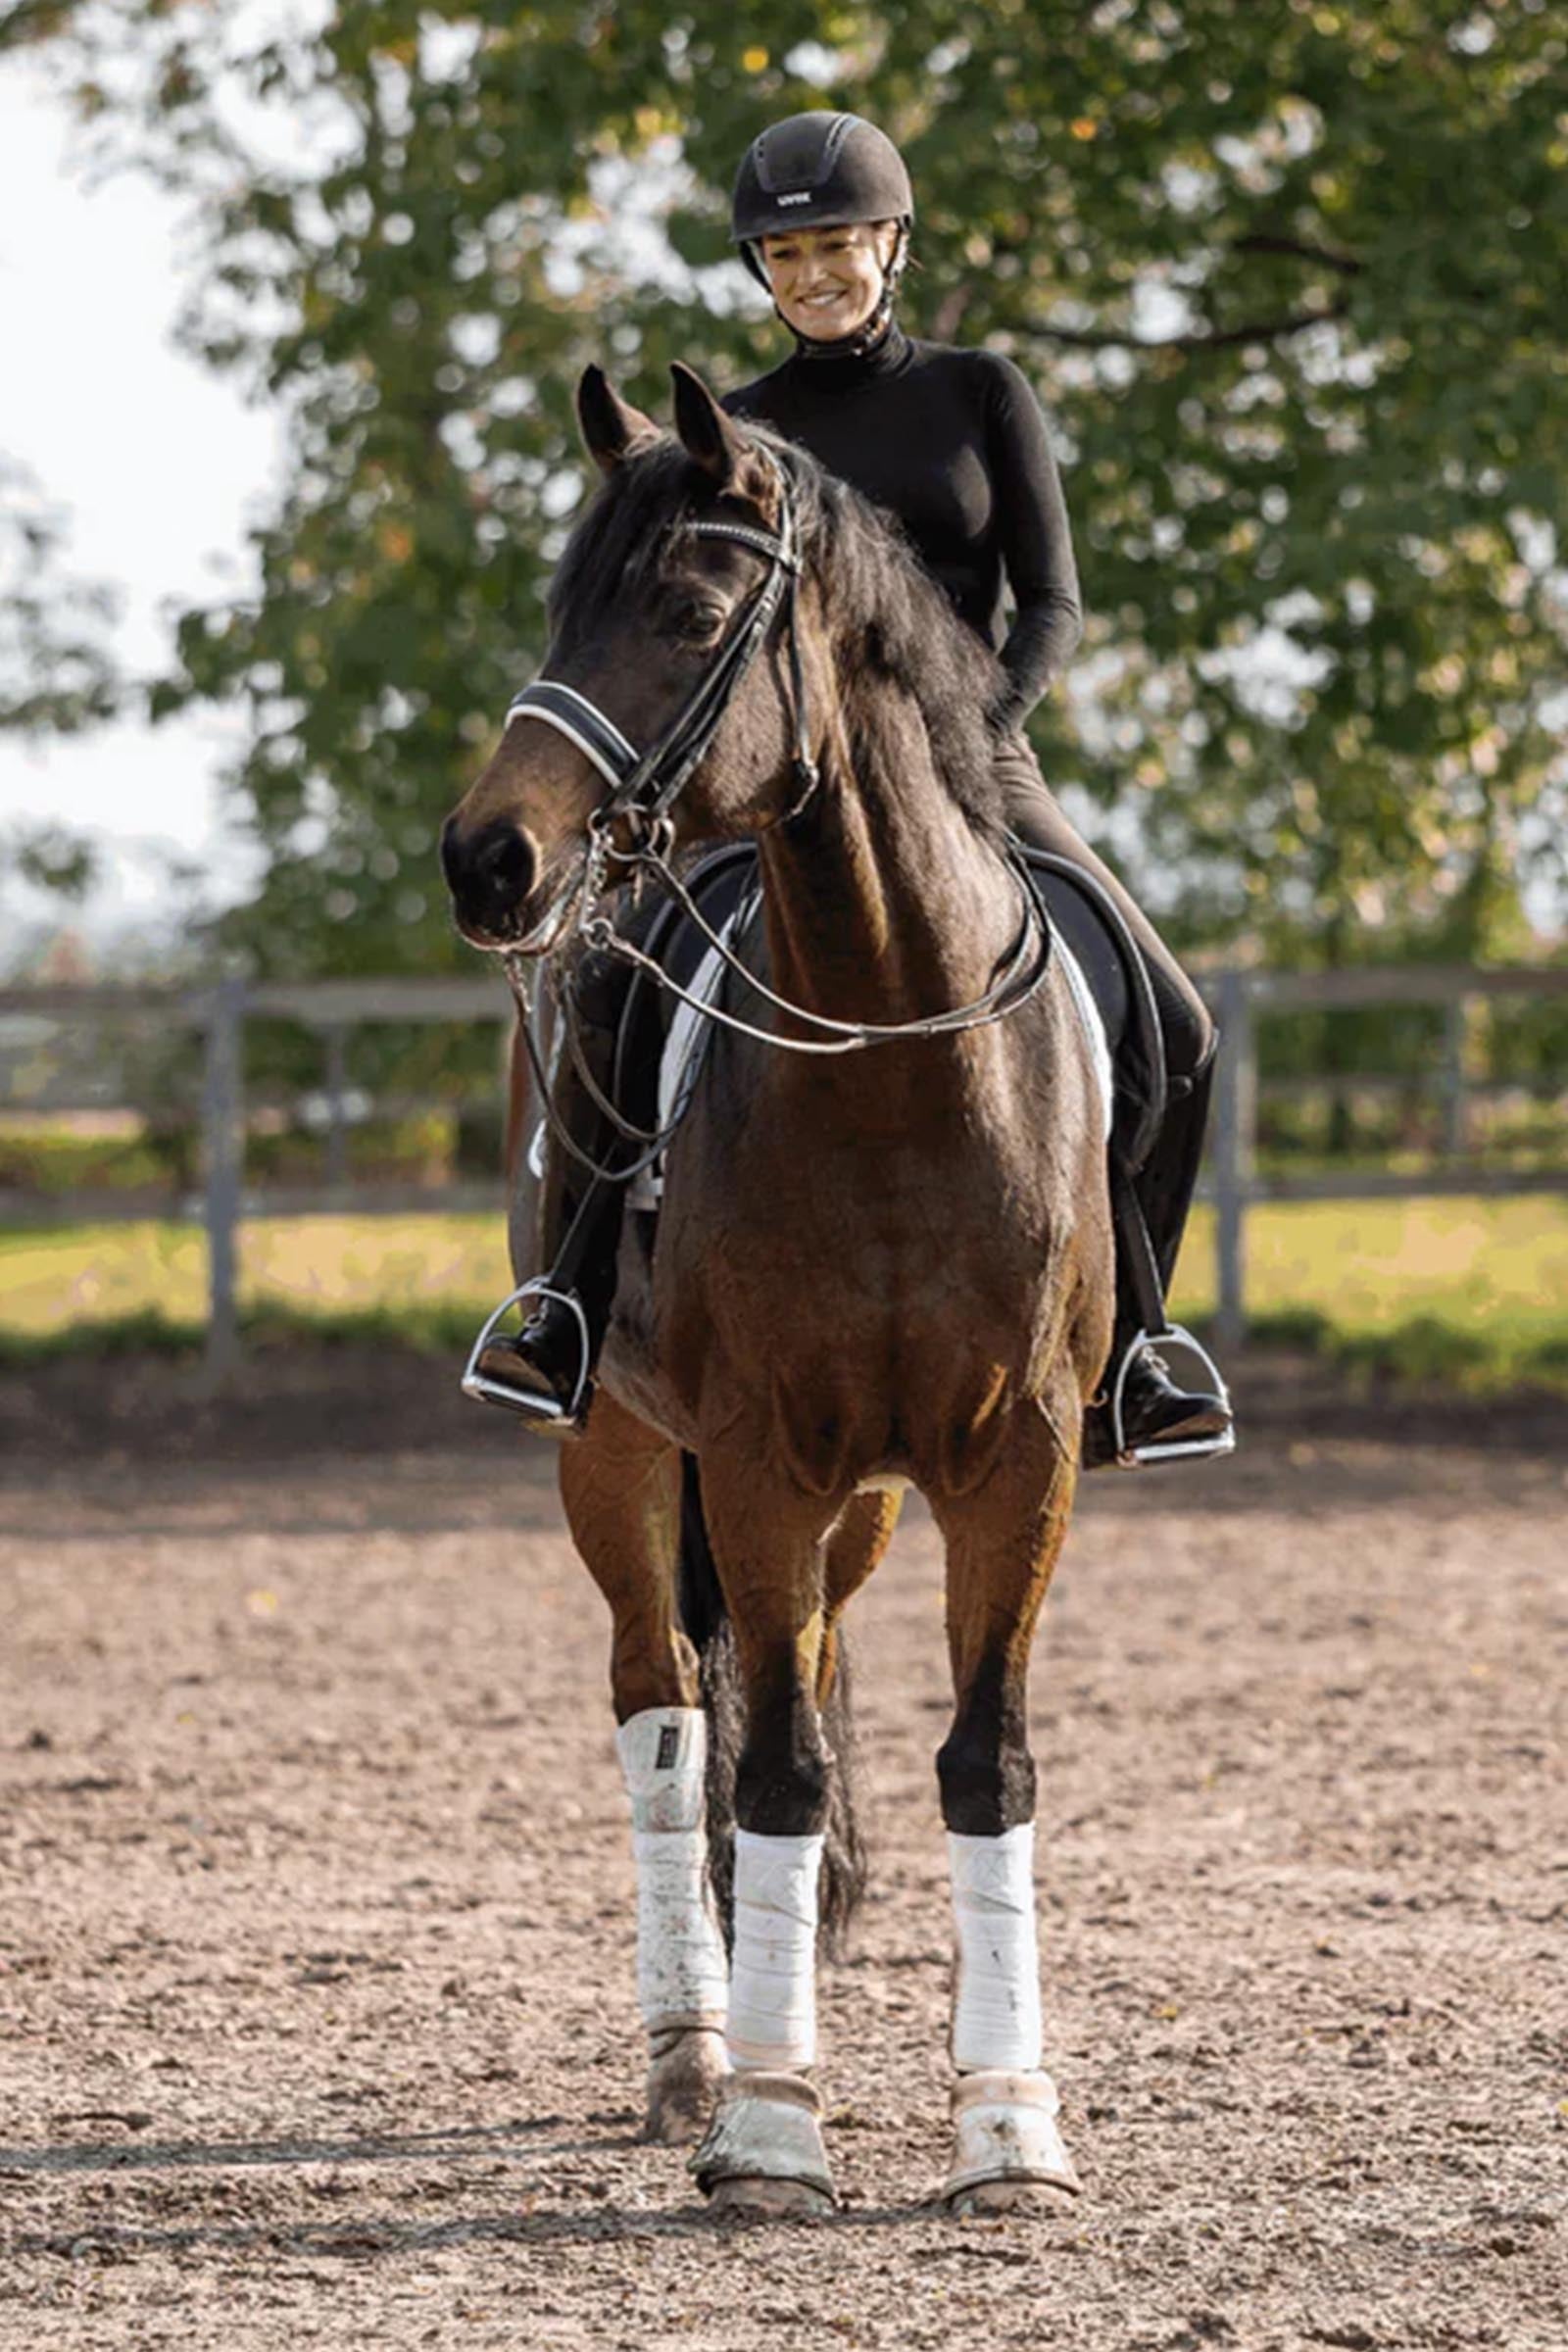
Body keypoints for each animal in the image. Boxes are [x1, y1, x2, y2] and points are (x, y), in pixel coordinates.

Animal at [439, 361, 1114, 2218]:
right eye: (561, 608)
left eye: (684, 614)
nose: (488, 863)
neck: (890, 1051)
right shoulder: (749, 1456)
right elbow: (776, 1762)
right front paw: (766, 2128)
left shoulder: (1014, 1463)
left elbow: (982, 1757)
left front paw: (1009, 2127)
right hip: (612, 1446)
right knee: (669, 1712)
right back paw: (695, 2049)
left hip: (866, 1506)